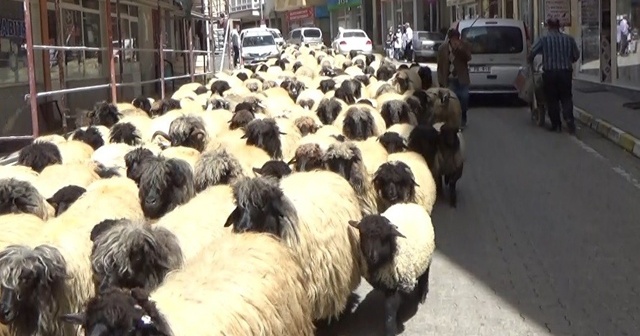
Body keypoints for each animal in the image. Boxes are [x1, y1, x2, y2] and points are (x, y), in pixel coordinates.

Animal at [348, 202, 438, 336]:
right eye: (362, 234)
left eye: (384, 237)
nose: (371, 256)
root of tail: (410, 204)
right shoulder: (388, 284)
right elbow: (391, 305)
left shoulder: (397, 282)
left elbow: (391, 307)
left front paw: (391, 328)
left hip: (426, 258)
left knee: (425, 275)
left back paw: (422, 295)